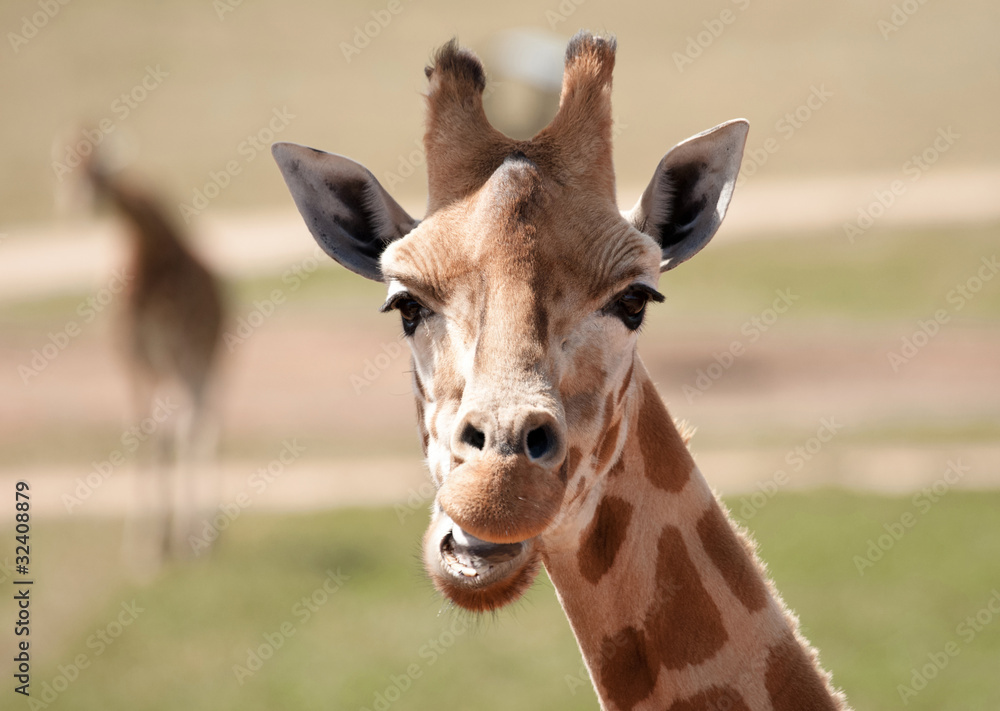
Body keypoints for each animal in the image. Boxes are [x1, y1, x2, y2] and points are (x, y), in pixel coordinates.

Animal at [79, 149, 225, 562]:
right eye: (70, 166)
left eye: (99, 170)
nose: (82, 200)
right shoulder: (132, 357)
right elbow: (143, 433)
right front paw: (144, 549)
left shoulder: (174, 350)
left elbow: (172, 432)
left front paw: (175, 542)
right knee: (190, 424)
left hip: (207, 358)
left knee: (202, 424)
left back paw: (202, 537)